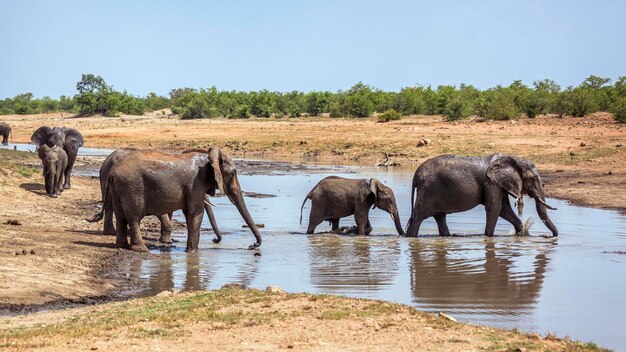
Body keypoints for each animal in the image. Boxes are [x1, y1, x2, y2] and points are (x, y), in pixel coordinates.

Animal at [86, 147, 260, 252]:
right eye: (233, 173)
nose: (253, 245)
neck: (207, 155)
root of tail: (113, 172)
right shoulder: (195, 184)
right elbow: (196, 212)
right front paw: (192, 252)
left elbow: (189, 213)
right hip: (132, 188)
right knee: (134, 217)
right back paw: (141, 249)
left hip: (119, 187)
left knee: (121, 216)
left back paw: (122, 245)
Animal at [402, 153, 560, 236]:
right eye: (533, 179)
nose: (549, 236)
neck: (511, 158)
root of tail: (416, 174)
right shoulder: (491, 183)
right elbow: (495, 208)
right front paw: (488, 237)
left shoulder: (497, 184)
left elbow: (504, 210)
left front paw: (522, 235)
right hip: (428, 189)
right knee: (418, 217)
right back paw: (411, 238)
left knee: (440, 216)